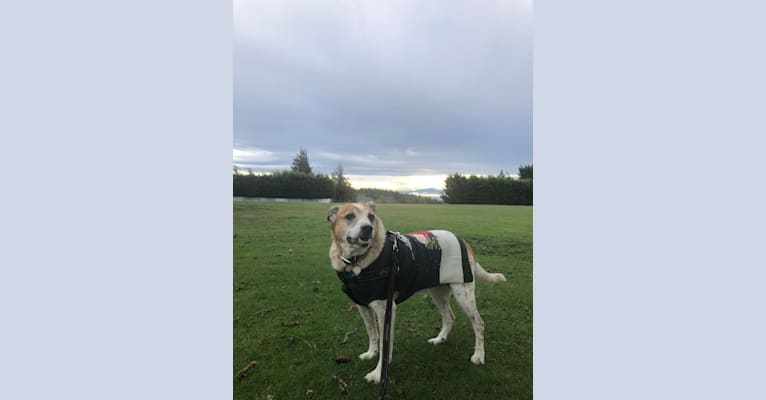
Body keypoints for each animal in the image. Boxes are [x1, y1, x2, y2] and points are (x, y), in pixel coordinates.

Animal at [328, 202, 508, 382]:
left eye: (371, 217)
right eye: (349, 216)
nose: (368, 228)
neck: (356, 262)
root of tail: (462, 240)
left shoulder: (386, 310)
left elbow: (385, 346)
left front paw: (378, 374)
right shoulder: (363, 306)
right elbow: (372, 333)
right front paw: (371, 353)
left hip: (463, 293)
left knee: (478, 323)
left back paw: (478, 355)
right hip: (438, 293)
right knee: (449, 317)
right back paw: (440, 339)